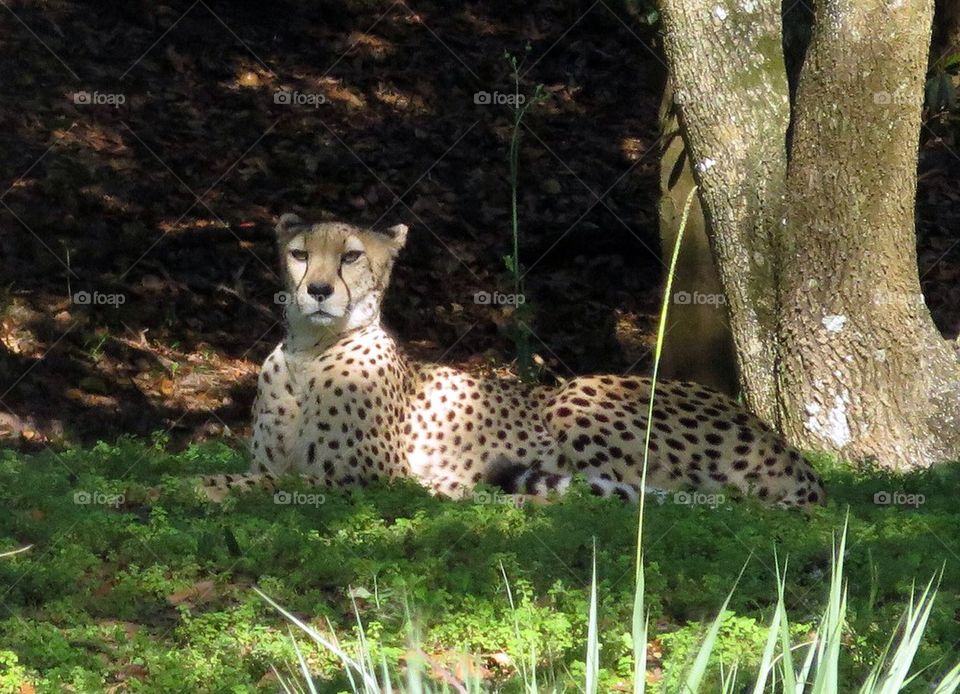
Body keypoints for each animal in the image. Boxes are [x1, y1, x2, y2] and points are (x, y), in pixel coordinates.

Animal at [201, 214, 825, 508]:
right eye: (299, 254)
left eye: (351, 256)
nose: (319, 290)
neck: (309, 351)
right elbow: (259, 473)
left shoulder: (373, 477)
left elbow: (262, 481)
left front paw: (200, 487)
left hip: (576, 398)